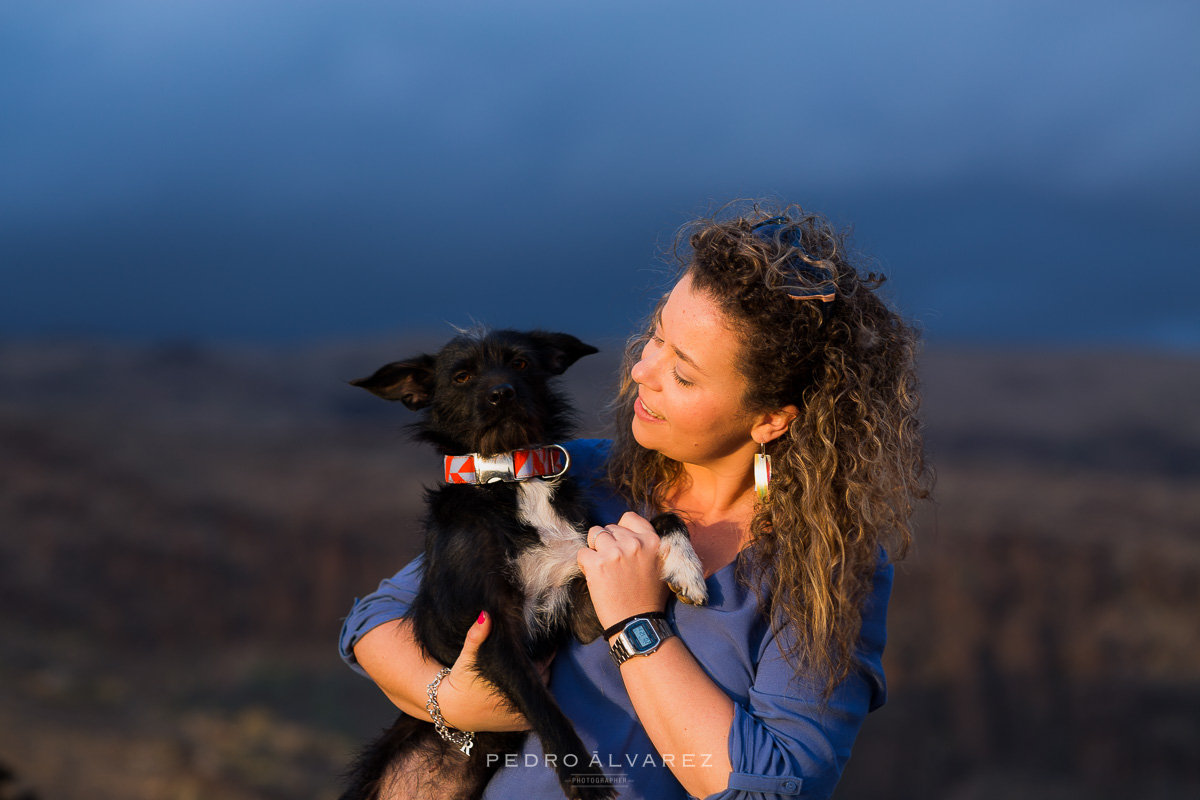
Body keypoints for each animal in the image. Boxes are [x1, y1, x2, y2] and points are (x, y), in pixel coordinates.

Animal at [343, 331, 705, 800]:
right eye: (461, 376)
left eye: (520, 363)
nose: (502, 392)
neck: (514, 478)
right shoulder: (490, 632)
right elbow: (544, 706)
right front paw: (582, 779)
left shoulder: (584, 603)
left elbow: (657, 518)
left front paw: (686, 567)